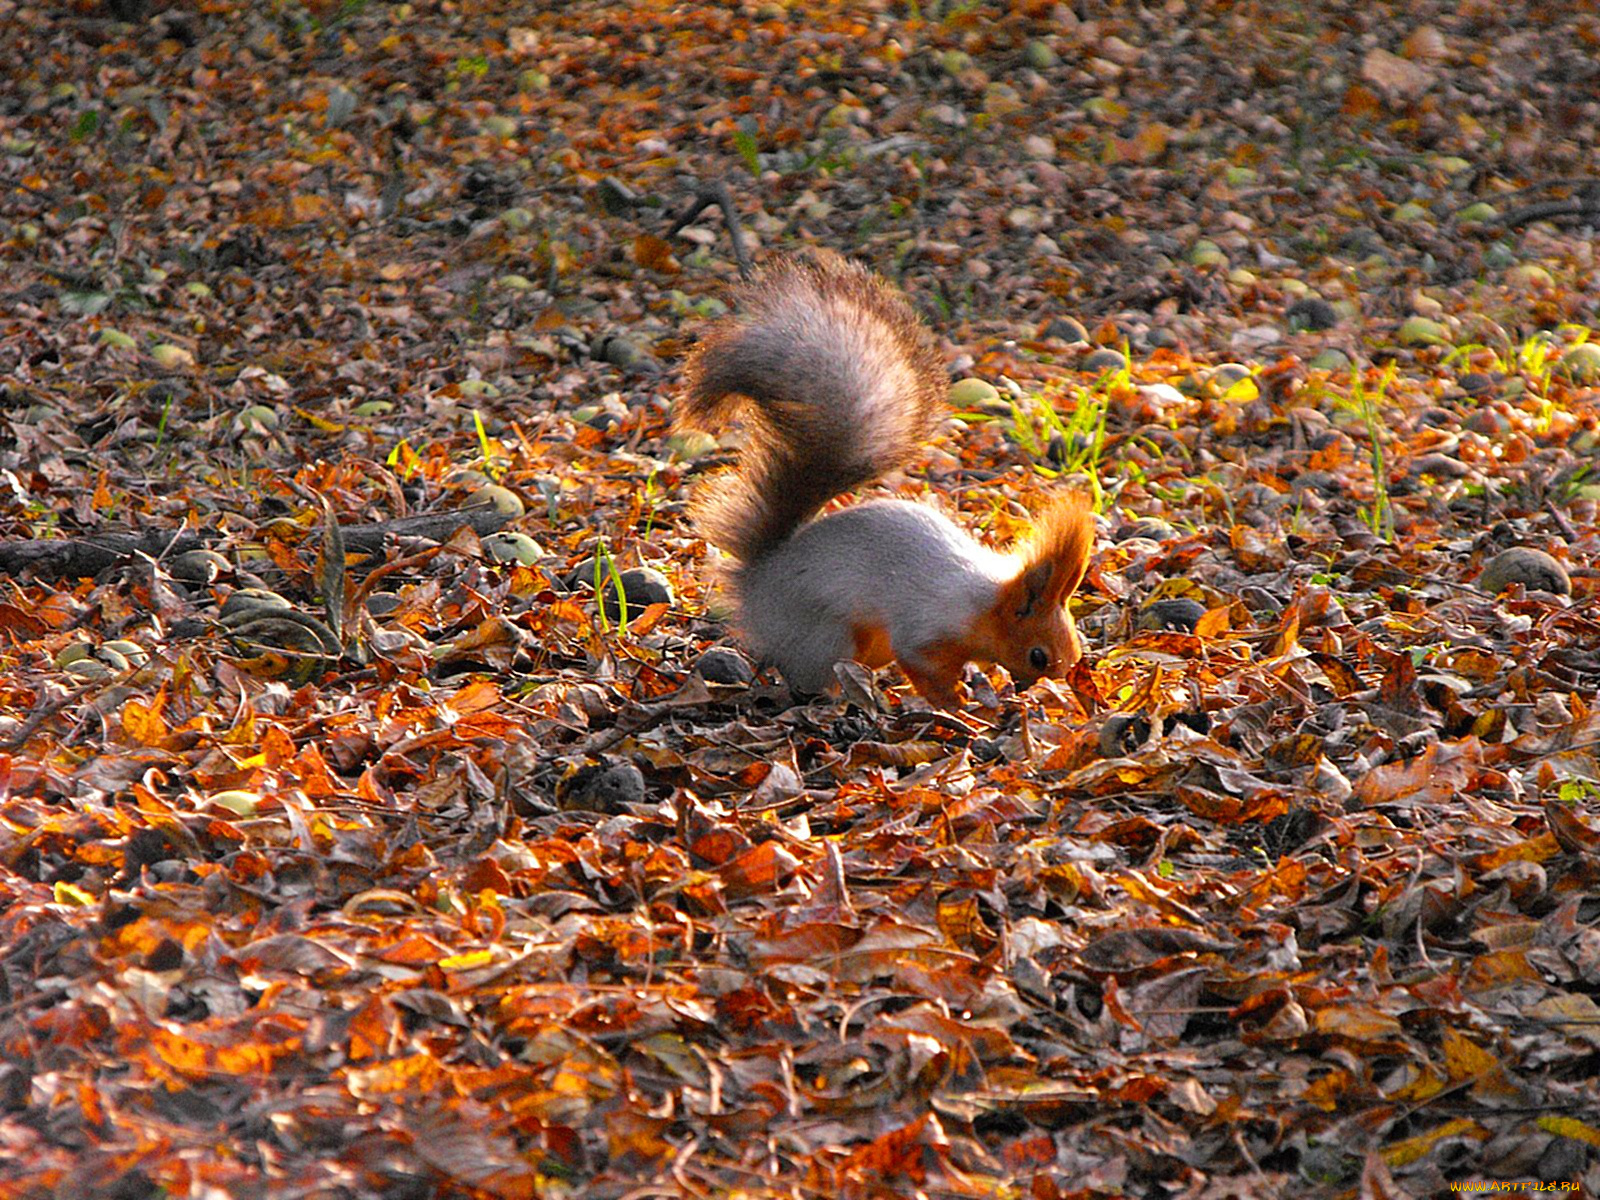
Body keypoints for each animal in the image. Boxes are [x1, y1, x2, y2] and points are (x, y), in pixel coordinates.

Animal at [675, 252, 1100, 704]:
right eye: (1038, 656)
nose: (1039, 688)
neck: (982, 606)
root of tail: (757, 579)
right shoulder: (928, 626)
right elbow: (923, 666)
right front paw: (960, 707)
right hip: (825, 636)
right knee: (810, 673)